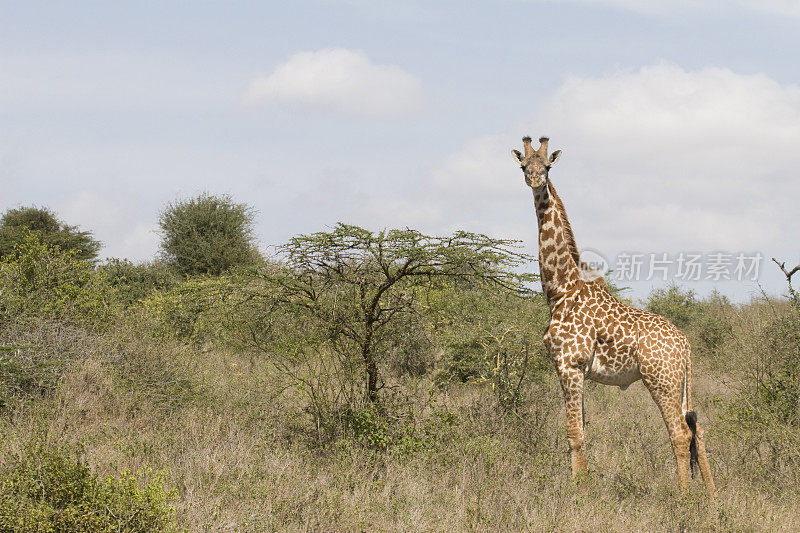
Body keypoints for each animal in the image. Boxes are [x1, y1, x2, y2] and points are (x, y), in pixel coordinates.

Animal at [512, 135, 720, 496]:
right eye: (524, 165)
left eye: (547, 166)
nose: (535, 180)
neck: (560, 289)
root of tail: (686, 344)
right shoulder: (571, 369)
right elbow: (581, 431)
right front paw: (583, 483)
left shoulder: (570, 364)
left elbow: (574, 434)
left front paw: (579, 491)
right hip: (679, 382)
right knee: (698, 429)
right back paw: (711, 496)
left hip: (661, 380)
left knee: (680, 434)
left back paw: (683, 497)